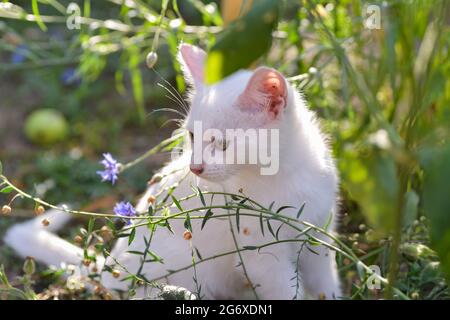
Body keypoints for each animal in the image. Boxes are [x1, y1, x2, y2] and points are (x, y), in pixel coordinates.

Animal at [4, 43, 342, 298]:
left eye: (221, 143)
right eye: (192, 135)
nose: (195, 166)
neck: (285, 175)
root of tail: (113, 265)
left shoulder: (318, 238)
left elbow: (325, 286)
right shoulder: (262, 257)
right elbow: (287, 292)